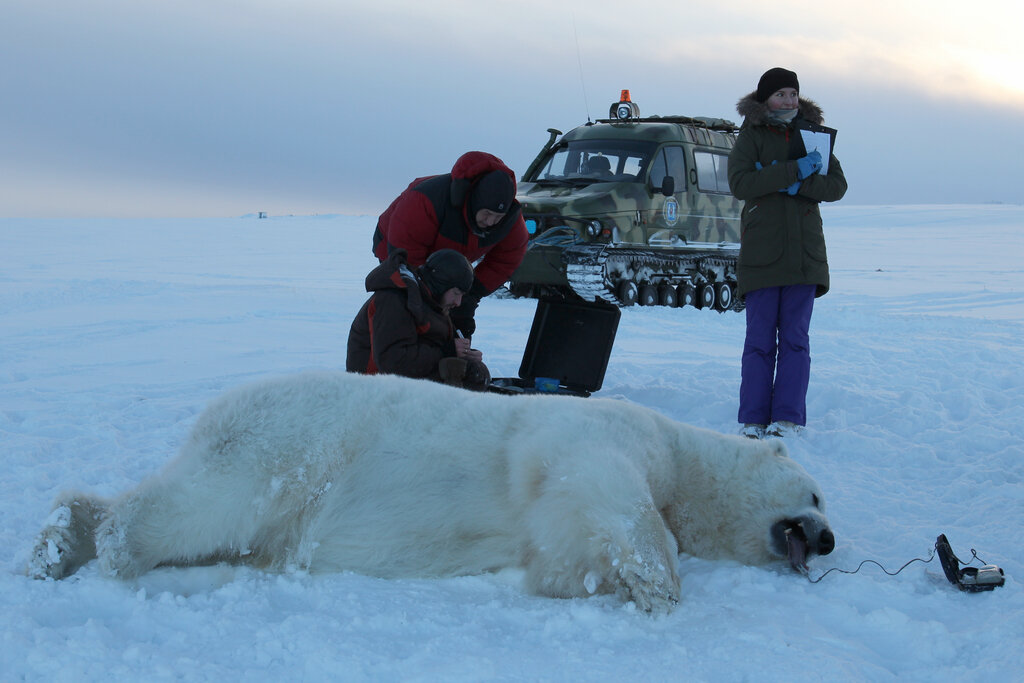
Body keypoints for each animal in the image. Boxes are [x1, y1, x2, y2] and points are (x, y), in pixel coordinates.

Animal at [28, 370, 835, 610]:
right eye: (819, 496)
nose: (827, 539)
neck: (679, 450)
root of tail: (217, 410)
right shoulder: (597, 435)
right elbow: (608, 491)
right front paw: (657, 582)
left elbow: (561, 548)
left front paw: (605, 582)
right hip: (286, 449)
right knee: (199, 506)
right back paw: (107, 547)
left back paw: (60, 541)